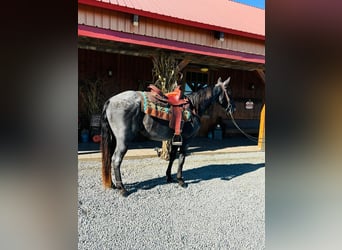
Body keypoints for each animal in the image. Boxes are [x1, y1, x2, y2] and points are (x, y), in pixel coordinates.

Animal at [100, 76, 234, 195]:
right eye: (229, 92)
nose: (233, 108)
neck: (193, 107)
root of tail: (110, 101)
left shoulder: (175, 139)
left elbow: (173, 156)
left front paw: (169, 177)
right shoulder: (187, 140)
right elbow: (181, 159)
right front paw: (181, 180)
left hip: (114, 139)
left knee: (110, 158)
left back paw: (113, 184)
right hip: (123, 141)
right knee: (116, 160)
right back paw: (122, 189)